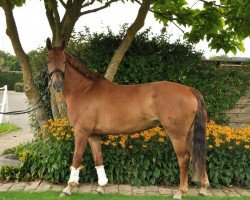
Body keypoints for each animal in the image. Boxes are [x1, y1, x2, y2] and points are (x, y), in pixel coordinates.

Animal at [45, 38, 209, 199]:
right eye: (48, 60)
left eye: (64, 61)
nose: (57, 84)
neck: (84, 90)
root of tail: (189, 89)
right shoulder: (93, 135)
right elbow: (98, 159)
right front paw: (101, 187)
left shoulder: (81, 132)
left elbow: (77, 158)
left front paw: (68, 188)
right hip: (188, 134)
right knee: (197, 155)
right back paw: (203, 188)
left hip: (177, 134)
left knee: (184, 159)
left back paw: (180, 192)